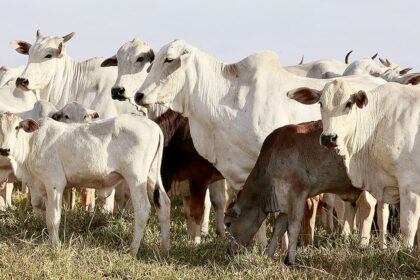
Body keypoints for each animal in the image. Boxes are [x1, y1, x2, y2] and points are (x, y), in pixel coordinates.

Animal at [0, 112, 171, 256]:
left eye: (17, 127)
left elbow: (53, 219)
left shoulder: (54, 184)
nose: (5, 150)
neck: (31, 143)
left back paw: (133, 250)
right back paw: (164, 249)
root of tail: (153, 126)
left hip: (136, 178)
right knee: (163, 203)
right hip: (151, 176)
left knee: (143, 208)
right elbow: (47, 217)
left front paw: (55, 248)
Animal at [225, 121, 362, 264]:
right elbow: (278, 228)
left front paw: (290, 260)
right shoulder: (284, 202)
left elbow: (293, 226)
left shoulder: (297, 194)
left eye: (228, 223)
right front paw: (269, 255)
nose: (230, 251)